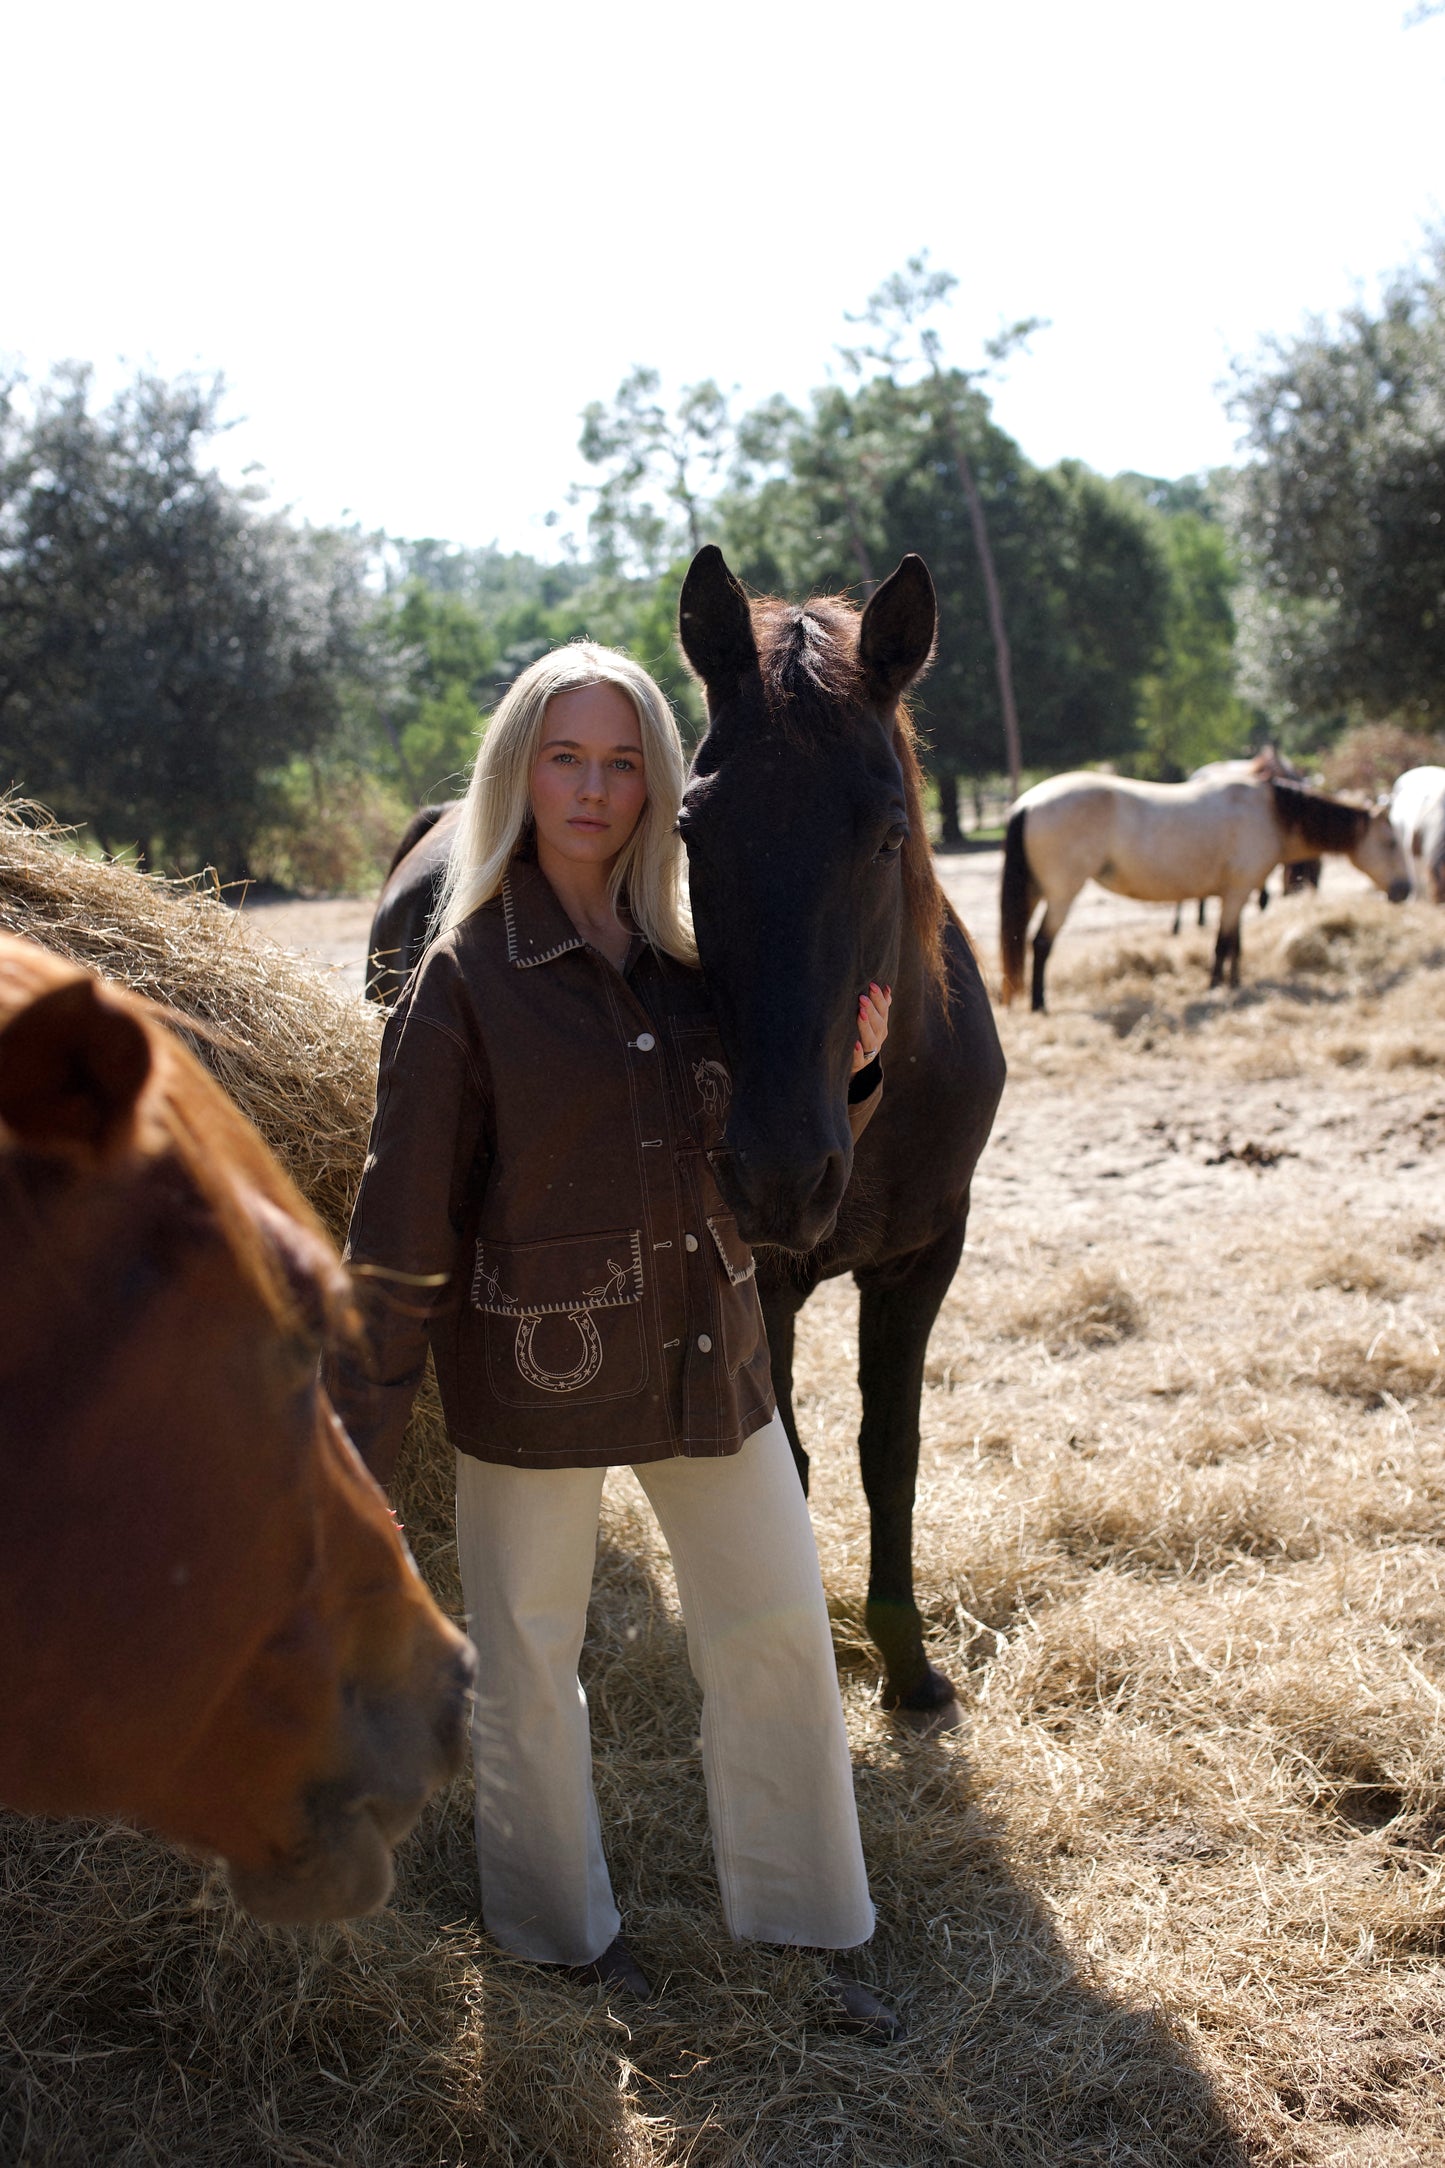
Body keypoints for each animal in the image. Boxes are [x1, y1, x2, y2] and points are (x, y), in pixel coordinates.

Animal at [1005, 763, 1412, 1005]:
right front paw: (1216, 987)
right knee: (1040, 943)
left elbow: (1236, 944)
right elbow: (1221, 944)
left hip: (1035, 891)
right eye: (1391, 842)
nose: (1405, 889)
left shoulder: (1239, 892)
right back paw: (1040, 1005)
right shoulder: (1235, 893)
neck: (1270, 813)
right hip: (1062, 895)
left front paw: (1235, 983)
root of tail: (1026, 802)